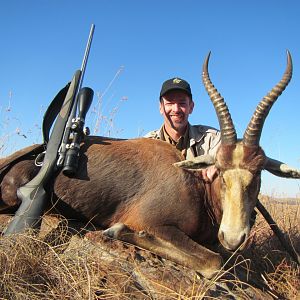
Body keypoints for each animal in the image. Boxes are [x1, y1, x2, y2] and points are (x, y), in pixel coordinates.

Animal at [0, 51, 298, 276]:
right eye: (220, 172)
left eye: (257, 174)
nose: (233, 238)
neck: (194, 185)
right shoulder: (151, 222)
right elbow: (213, 261)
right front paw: (116, 230)